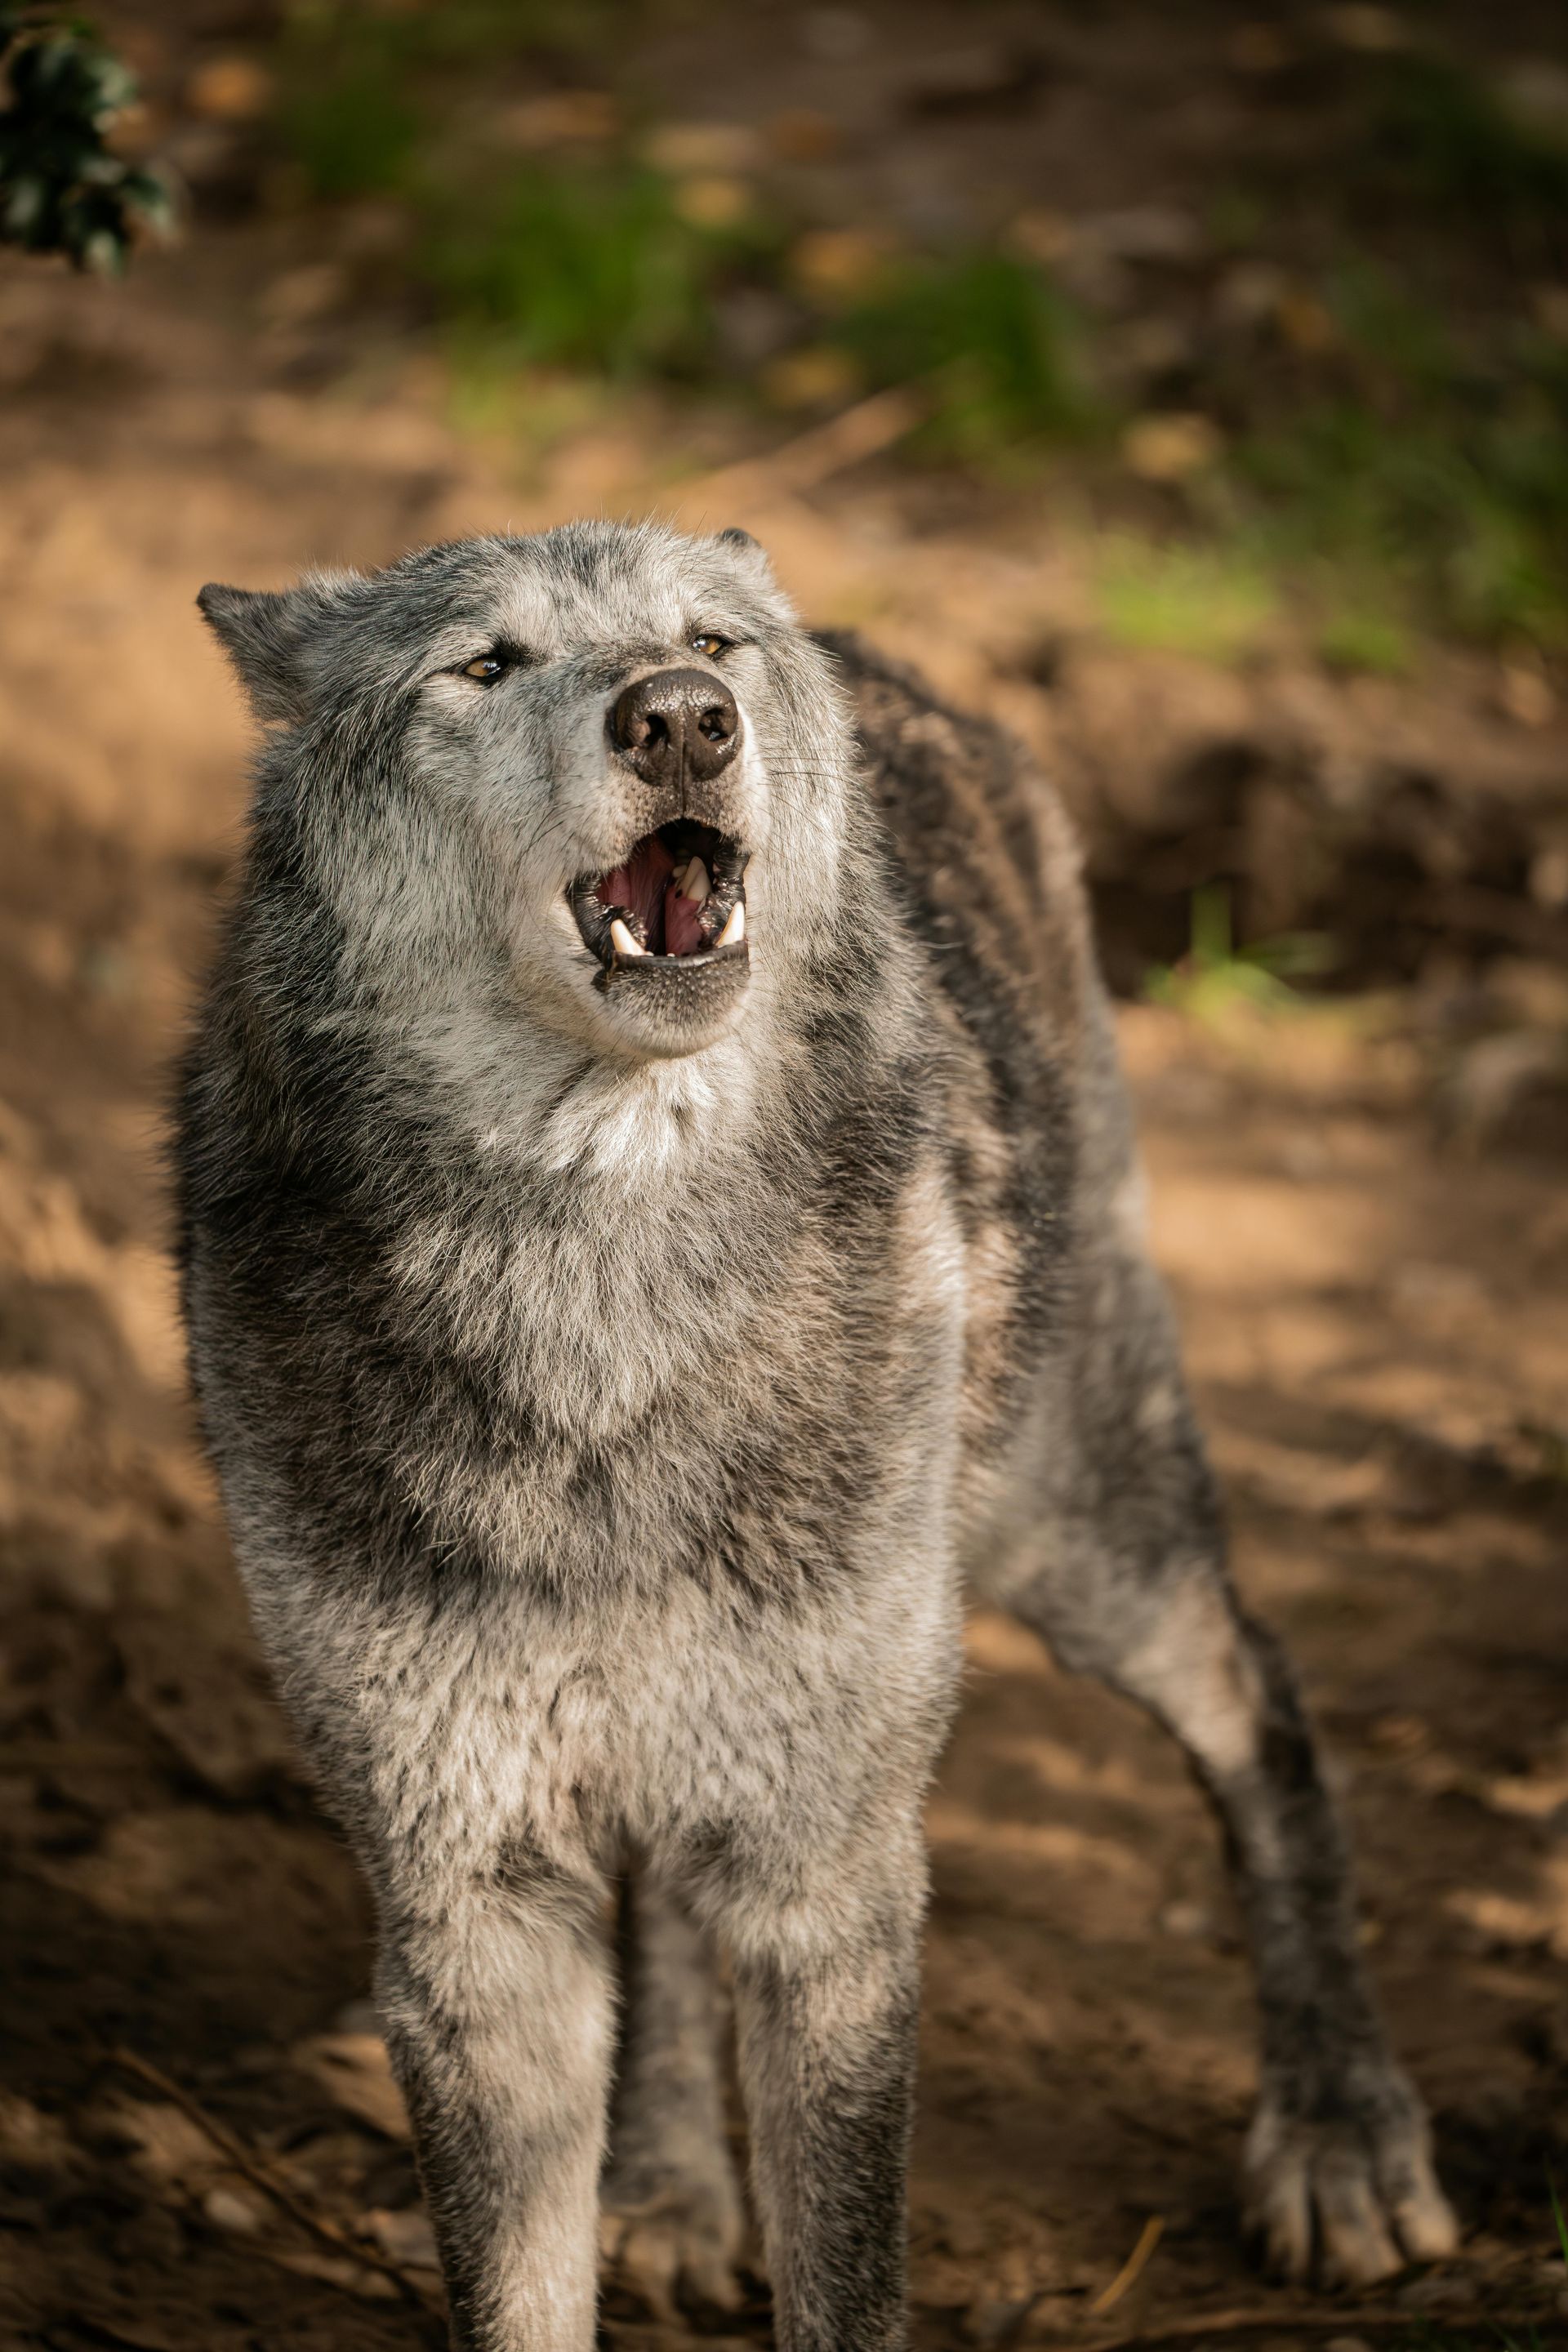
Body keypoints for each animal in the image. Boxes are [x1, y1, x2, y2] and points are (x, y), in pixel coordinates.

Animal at [177, 522, 1456, 2352]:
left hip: (1076, 1539)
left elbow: (848, 2282)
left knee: (1262, 1698)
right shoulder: (470, 1906)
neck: (602, 1297)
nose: (680, 717)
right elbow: (517, 2287)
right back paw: (666, 2187)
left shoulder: (833, 1885)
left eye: (710, 643)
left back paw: (1343, 2135)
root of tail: (897, 661)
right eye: (484, 666)